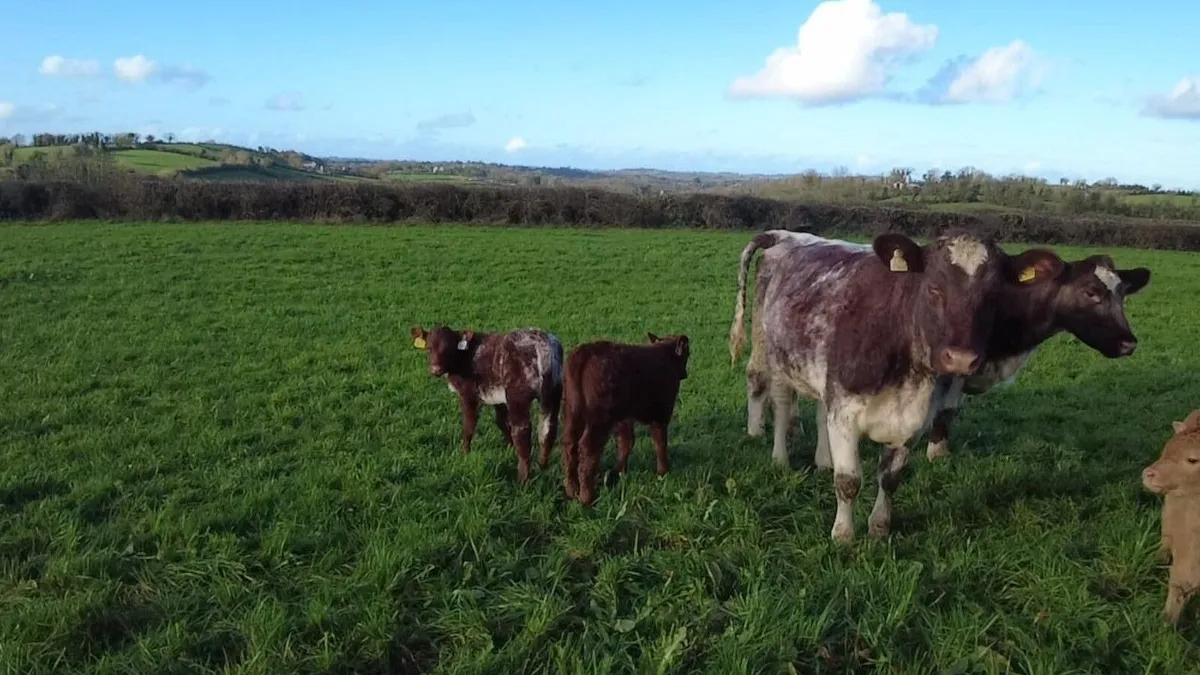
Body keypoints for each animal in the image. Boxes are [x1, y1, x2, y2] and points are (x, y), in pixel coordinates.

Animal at [411, 325, 563, 483]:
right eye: (429, 348)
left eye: (448, 348)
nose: (436, 370)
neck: (464, 356)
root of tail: (542, 342)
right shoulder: (498, 397)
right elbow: (501, 422)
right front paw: (510, 448)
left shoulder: (469, 394)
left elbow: (468, 425)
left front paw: (465, 453)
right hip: (553, 393)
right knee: (548, 429)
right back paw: (542, 467)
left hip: (518, 397)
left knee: (522, 432)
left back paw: (522, 480)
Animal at [559, 333, 690, 506]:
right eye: (687, 354)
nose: (686, 373)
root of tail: (585, 351)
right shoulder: (661, 413)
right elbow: (660, 443)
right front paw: (663, 472)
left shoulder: (625, 417)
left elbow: (626, 442)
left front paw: (619, 472)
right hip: (599, 420)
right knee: (588, 448)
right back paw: (587, 497)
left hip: (571, 413)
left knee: (569, 445)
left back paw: (572, 489)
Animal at [728, 229, 1048, 542]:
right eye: (933, 288)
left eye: (993, 297)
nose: (961, 359)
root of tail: (784, 235)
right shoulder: (845, 412)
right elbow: (848, 481)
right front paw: (843, 535)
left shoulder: (912, 421)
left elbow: (890, 479)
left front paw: (879, 527)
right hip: (775, 358)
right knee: (780, 407)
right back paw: (780, 459)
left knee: (819, 412)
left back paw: (824, 461)